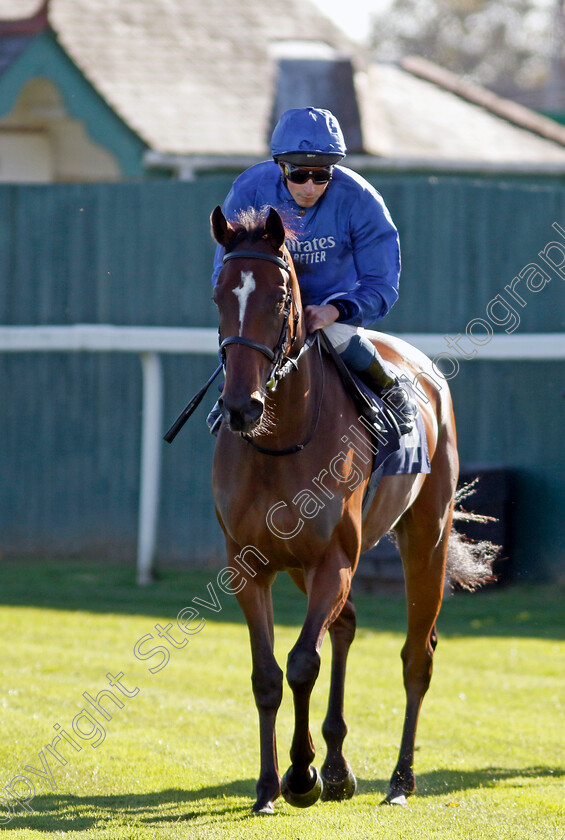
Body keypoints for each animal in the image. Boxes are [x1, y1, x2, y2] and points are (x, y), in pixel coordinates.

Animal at [209, 203, 492, 812]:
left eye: (281, 299)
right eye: (219, 293)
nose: (241, 406)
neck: (280, 439)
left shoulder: (333, 558)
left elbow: (301, 663)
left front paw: (301, 775)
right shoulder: (249, 564)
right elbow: (266, 673)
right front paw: (269, 785)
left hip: (425, 538)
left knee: (417, 656)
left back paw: (400, 780)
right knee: (346, 626)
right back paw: (338, 766)